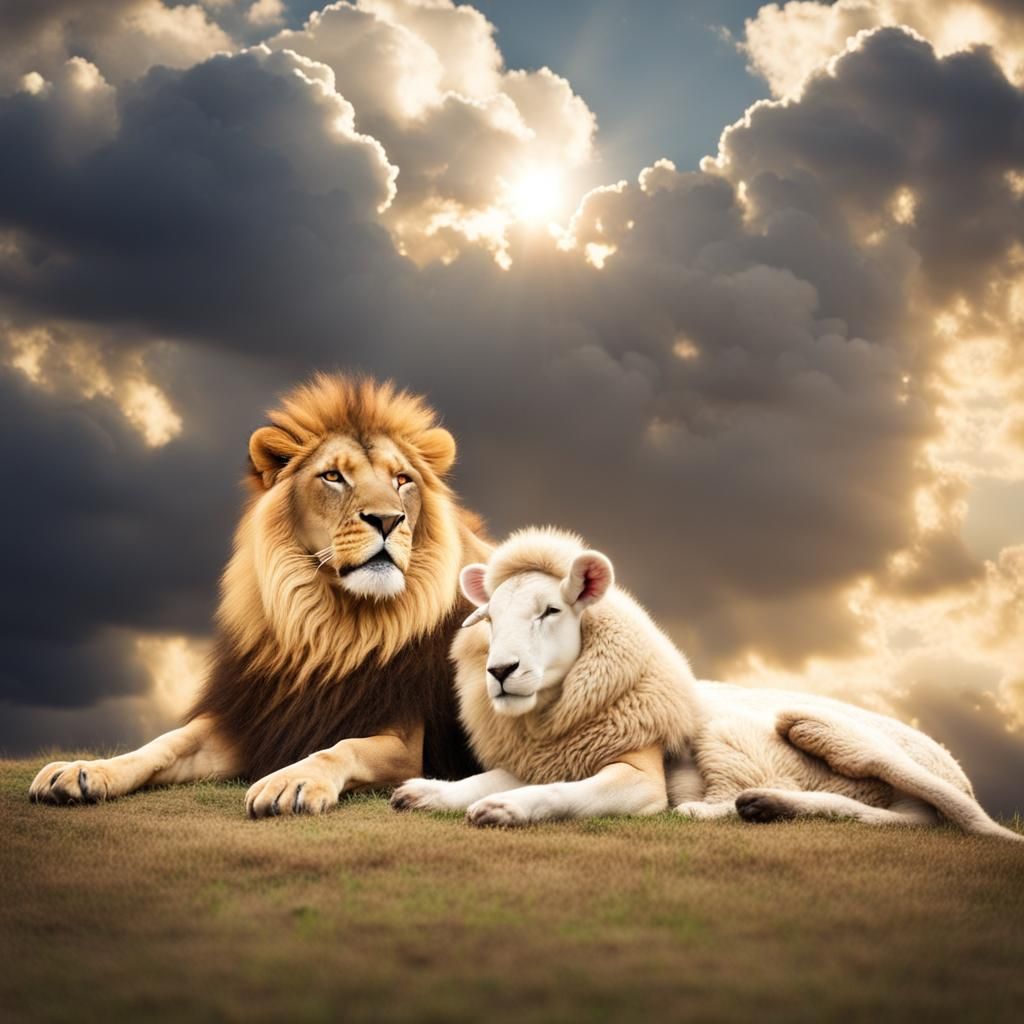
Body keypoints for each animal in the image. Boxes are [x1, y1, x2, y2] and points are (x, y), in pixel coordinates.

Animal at [29, 373, 490, 817]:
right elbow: (165, 743)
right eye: (333, 476)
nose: (389, 520)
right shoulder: (250, 721)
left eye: (402, 480)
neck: (333, 625)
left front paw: (291, 781)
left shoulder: (405, 743)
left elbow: (343, 748)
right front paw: (85, 770)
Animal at [392, 527, 1022, 841]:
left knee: (955, 819)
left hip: (821, 726)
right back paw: (758, 806)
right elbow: (485, 778)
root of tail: (956, 770)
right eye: (488, 618)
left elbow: (563, 794)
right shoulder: (552, 756)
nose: (499, 673)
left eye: (550, 610)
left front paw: (506, 808)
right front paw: (429, 792)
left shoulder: (639, 776)